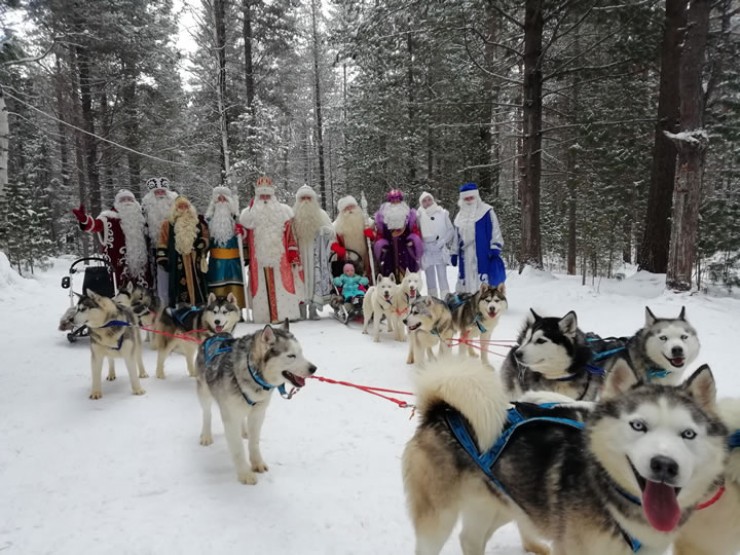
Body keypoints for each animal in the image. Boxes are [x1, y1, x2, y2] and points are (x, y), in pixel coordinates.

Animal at [195, 324, 316, 484]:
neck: (252, 374)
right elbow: (238, 449)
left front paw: (257, 463)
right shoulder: (230, 417)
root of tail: (216, 334)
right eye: (291, 356)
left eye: (301, 353)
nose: (314, 368)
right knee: (207, 414)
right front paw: (245, 474)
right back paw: (206, 435)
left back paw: (244, 431)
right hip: (204, 393)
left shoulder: (258, 414)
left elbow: (254, 442)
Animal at [402, 358, 724, 552]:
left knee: (471, 538)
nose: (665, 465)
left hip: (505, 505)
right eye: (638, 425)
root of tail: (442, 409)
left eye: (688, 434)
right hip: (439, 518)